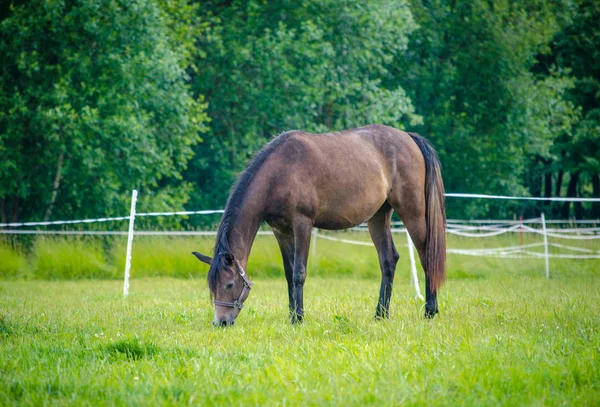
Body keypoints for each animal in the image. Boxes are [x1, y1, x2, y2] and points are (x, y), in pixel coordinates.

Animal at [192, 122, 446, 326]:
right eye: (212, 286)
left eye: (229, 284)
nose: (221, 322)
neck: (279, 172)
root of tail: (409, 138)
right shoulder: (281, 231)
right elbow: (288, 274)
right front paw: (292, 315)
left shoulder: (302, 224)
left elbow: (299, 273)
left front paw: (298, 319)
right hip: (378, 216)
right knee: (388, 260)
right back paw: (380, 315)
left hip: (412, 212)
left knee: (426, 256)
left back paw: (430, 311)